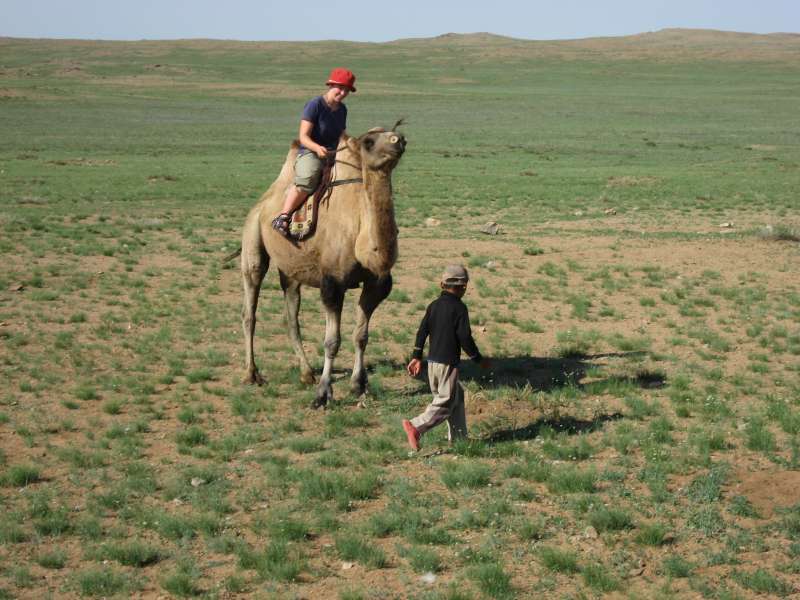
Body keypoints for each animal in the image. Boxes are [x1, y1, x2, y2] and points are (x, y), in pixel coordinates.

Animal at [238, 125, 406, 408]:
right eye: (369, 142)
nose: (399, 140)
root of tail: (263, 203)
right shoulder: (332, 283)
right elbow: (331, 341)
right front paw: (323, 394)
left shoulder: (377, 284)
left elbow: (361, 336)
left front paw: (359, 385)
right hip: (252, 241)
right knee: (250, 307)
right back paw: (252, 374)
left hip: (292, 270)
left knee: (291, 315)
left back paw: (306, 373)